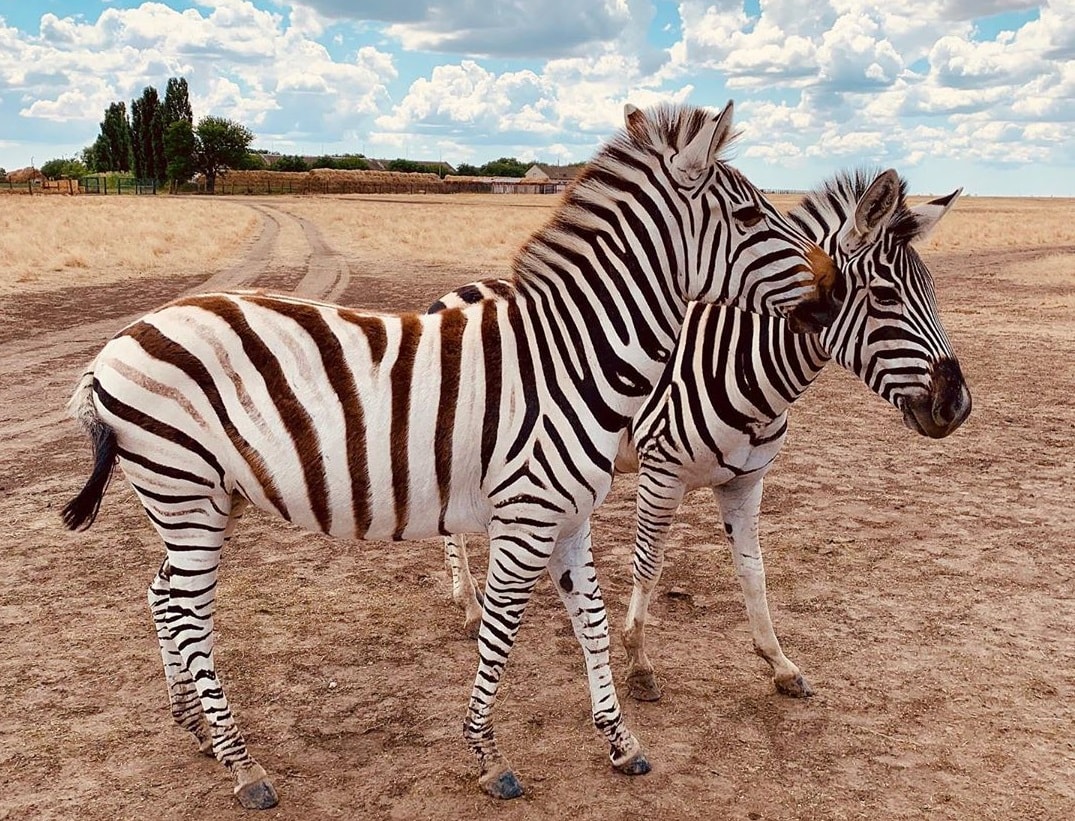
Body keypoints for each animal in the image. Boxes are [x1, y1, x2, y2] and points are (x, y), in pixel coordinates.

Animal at [62, 97, 842, 808]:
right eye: (750, 217)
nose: (834, 288)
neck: (574, 357)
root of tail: (120, 342)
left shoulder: (571, 516)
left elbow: (590, 620)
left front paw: (621, 742)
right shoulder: (526, 516)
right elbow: (499, 632)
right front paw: (488, 755)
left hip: (202, 498)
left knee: (162, 596)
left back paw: (194, 727)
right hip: (184, 491)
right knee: (188, 616)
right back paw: (243, 765)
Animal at [430, 166, 976, 704]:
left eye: (932, 292)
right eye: (885, 296)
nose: (957, 406)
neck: (742, 364)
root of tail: (464, 288)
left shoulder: (746, 481)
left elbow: (754, 571)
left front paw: (779, 664)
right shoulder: (661, 473)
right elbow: (648, 564)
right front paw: (639, 664)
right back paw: (471, 606)